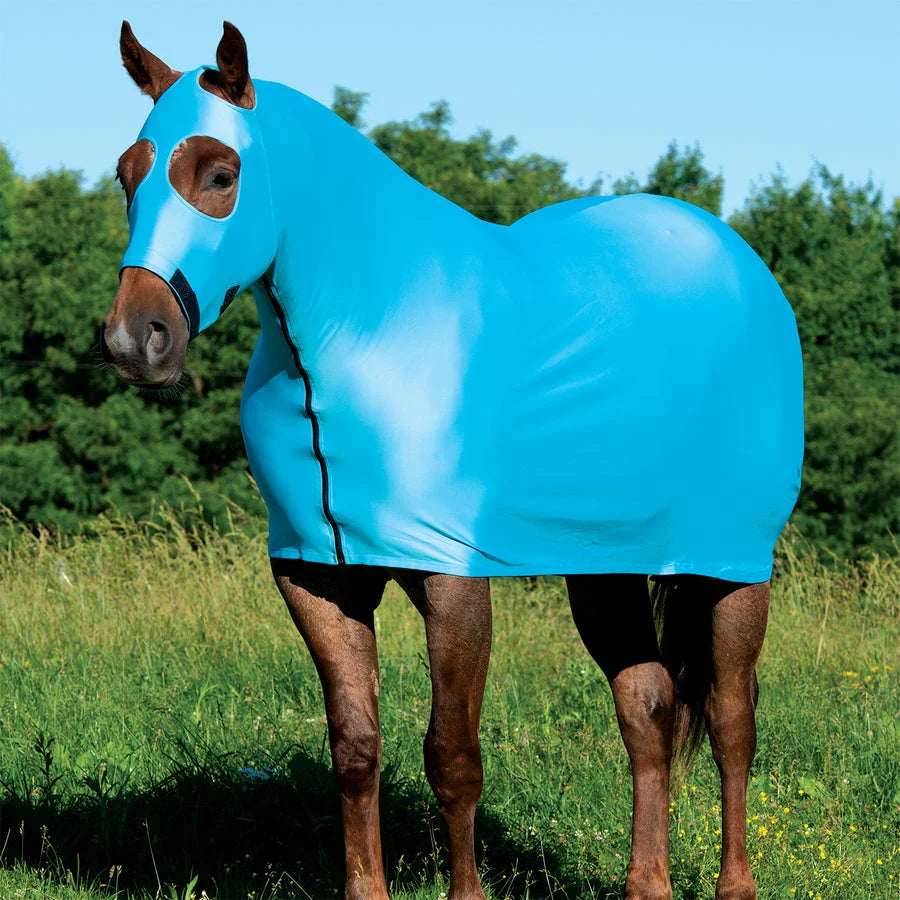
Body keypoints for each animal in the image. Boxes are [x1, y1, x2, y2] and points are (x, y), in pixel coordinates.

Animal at [100, 21, 803, 900]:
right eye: (126, 175)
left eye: (220, 175)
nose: (136, 341)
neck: (371, 327)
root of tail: (740, 262)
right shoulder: (316, 577)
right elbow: (355, 748)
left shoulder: (451, 580)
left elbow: (453, 758)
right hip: (603, 569)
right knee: (648, 708)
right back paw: (649, 883)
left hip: (731, 567)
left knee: (734, 722)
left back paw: (734, 883)